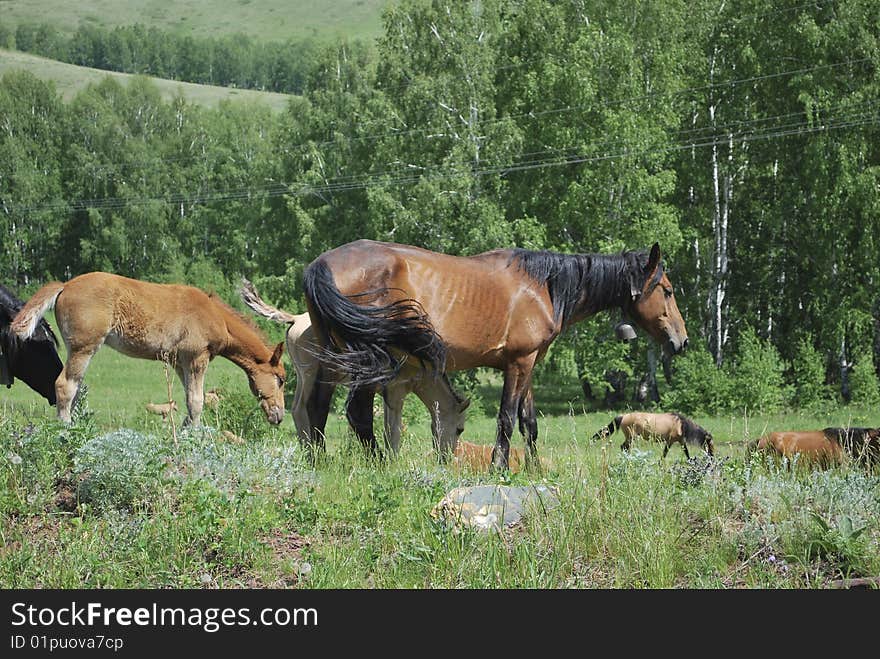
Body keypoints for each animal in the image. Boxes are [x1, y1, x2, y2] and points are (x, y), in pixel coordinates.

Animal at [11, 274, 286, 428]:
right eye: (281, 379)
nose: (280, 416)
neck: (214, 316)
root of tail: (66, 285)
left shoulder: (179, 362)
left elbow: (189, 399)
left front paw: (186, 429)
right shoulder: (197, 358)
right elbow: (197, 401)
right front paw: (197, 435)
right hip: (84, 347)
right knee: (65, 386)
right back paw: (66, 429)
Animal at [237, 276, 470, 456]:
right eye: (460, 429)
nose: (445, 458)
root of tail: (296, 319)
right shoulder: (396, 391)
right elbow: (392, 430)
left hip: (304, 376)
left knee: (297, 409)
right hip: (313, 374)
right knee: (303, 408)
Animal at [302, 238, 688, 470]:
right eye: (667, 291)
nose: (681, 342)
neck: (542, 286)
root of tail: (320, 265)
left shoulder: (529, 362)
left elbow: (529, 423)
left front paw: (532, 468)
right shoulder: (518, 363)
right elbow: (506, 419)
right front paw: (498, 467)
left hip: (332, 355)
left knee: (317, 406)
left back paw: (317, 462)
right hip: (367, 360)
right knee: (358, 412)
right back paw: (378, 465)